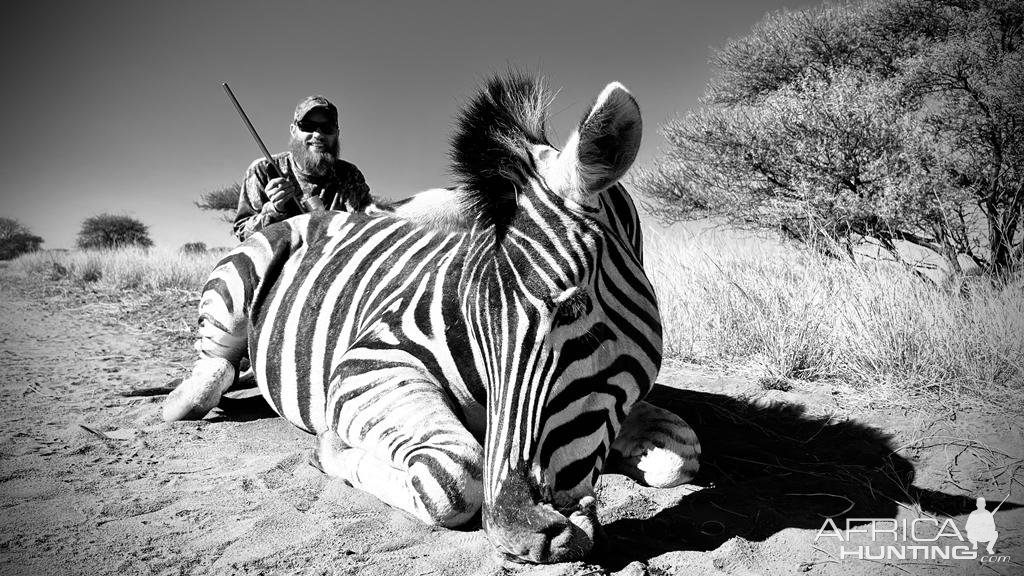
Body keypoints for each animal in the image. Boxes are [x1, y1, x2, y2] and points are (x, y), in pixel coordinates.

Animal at [163, 72, 700, 561]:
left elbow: (682, 453)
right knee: (214, 364)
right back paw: (184, 398)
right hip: (237, 277)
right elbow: (455, 479)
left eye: (572, 308)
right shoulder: (365, 367)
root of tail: (309, 214)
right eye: (473, 316)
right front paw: (333, 448)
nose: (522, 536)